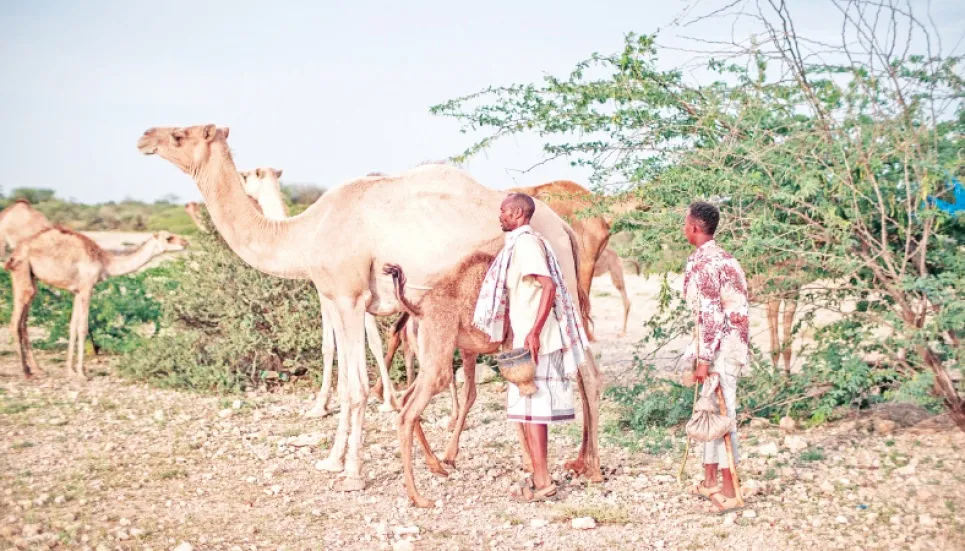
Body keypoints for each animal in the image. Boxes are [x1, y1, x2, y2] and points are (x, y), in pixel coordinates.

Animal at [4, 226, 187, 378]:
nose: (185, 242)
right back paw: (26, 372)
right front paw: (82, 373)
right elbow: (83, 327)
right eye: (169, 238)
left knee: (23, 323)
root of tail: (15, 253)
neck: (105, 261)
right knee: (14, 322)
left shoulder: (77, 291)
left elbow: (73, 327)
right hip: (23, 271)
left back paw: (37, 369)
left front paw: (71, 370)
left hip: (29, 276)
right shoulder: (87, 287)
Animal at [235, 167, 398, 414]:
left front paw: (322, 404)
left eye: (247, 176)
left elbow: (332, 344)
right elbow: (369, 339)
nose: (239, 180)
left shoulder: (329, 292)